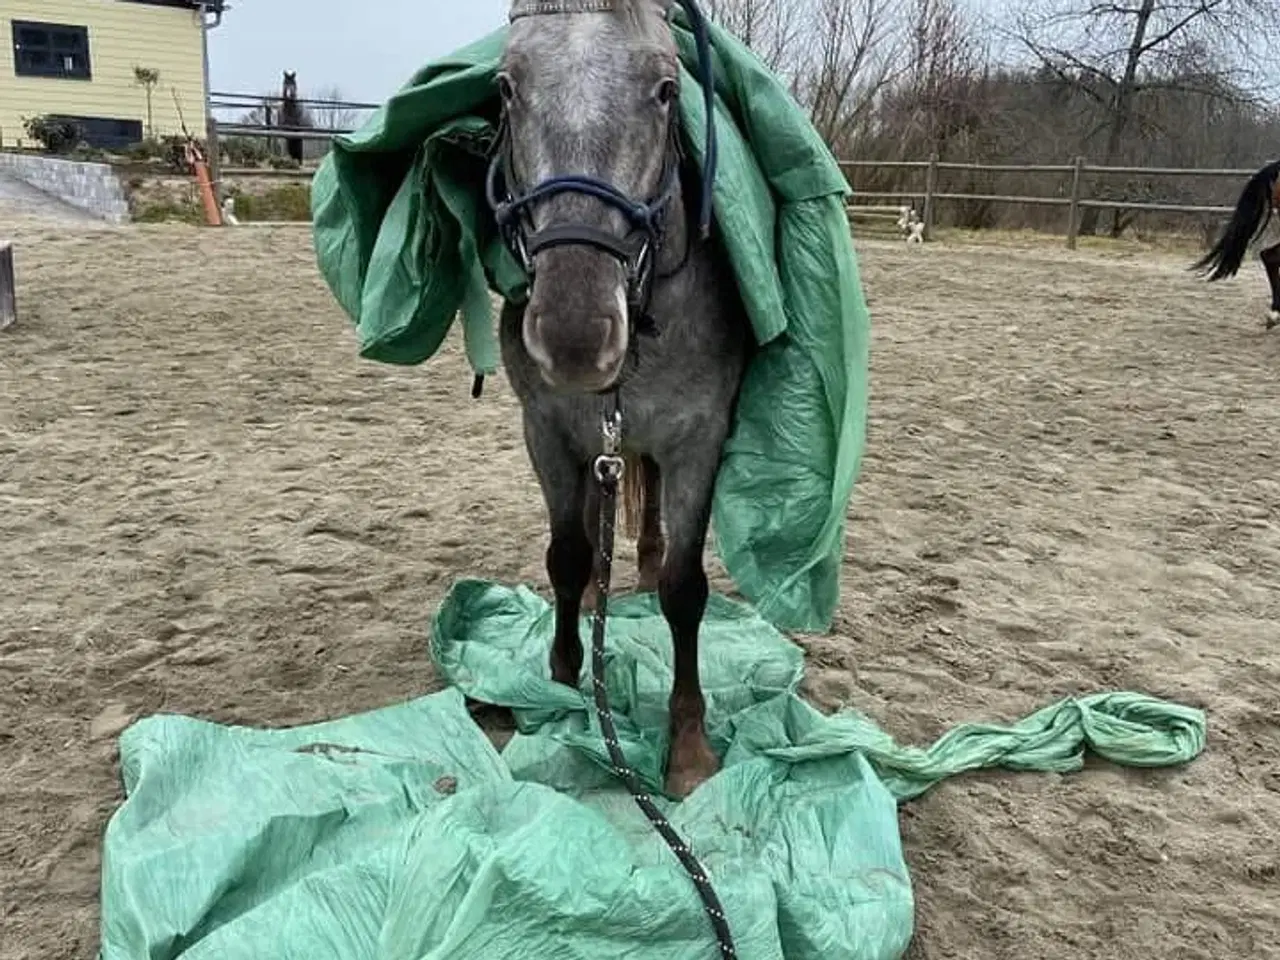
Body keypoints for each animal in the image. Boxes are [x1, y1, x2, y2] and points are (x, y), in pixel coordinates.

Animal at [488, 0, 750, 799]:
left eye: (667, 89)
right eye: (505, 86)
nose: (575, 336)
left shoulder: (699, 442)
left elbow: (685, 591)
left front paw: (689, 747)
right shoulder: (545, 430)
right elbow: (567, 556)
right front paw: (561, 678)